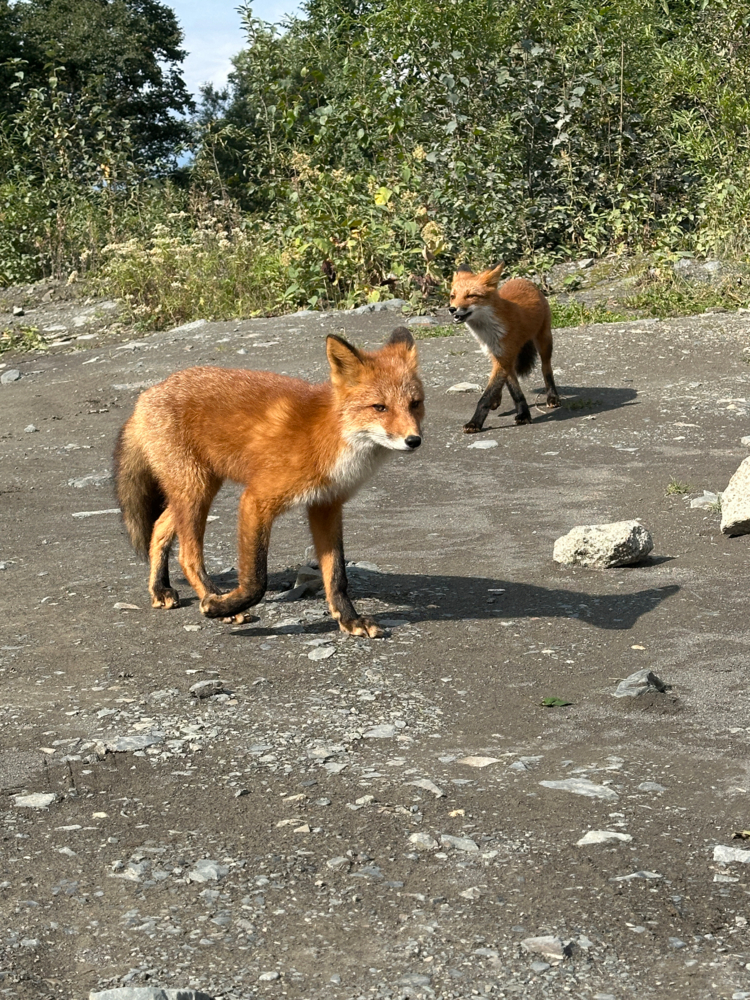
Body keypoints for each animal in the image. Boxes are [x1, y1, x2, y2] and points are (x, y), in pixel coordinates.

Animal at [113, 328, 424, 639]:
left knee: (158, 529)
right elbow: (257, 579)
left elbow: (337, 575)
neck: (327, 437)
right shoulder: (256, 499)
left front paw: (349, 619)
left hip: (198, 488)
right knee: (188, 556)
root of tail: (146, 395)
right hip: (196, 490)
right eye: (380, 407)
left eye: (415, 404)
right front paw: (222, 606)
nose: (414, 440)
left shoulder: (325, 505)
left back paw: (160, 589)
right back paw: (214, 599)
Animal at [448, 263, 560, 431]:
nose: (452, 309)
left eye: (471, 295)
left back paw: (552, 396)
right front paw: (523, 414)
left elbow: (486, 397)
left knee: (546, 369)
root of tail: (522, 279)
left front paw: (475, 423)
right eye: (452, 296)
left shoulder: (505, 356)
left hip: (544, 341)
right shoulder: (500, 356)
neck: (488, 332)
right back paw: (497, 400)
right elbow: (514, 391)